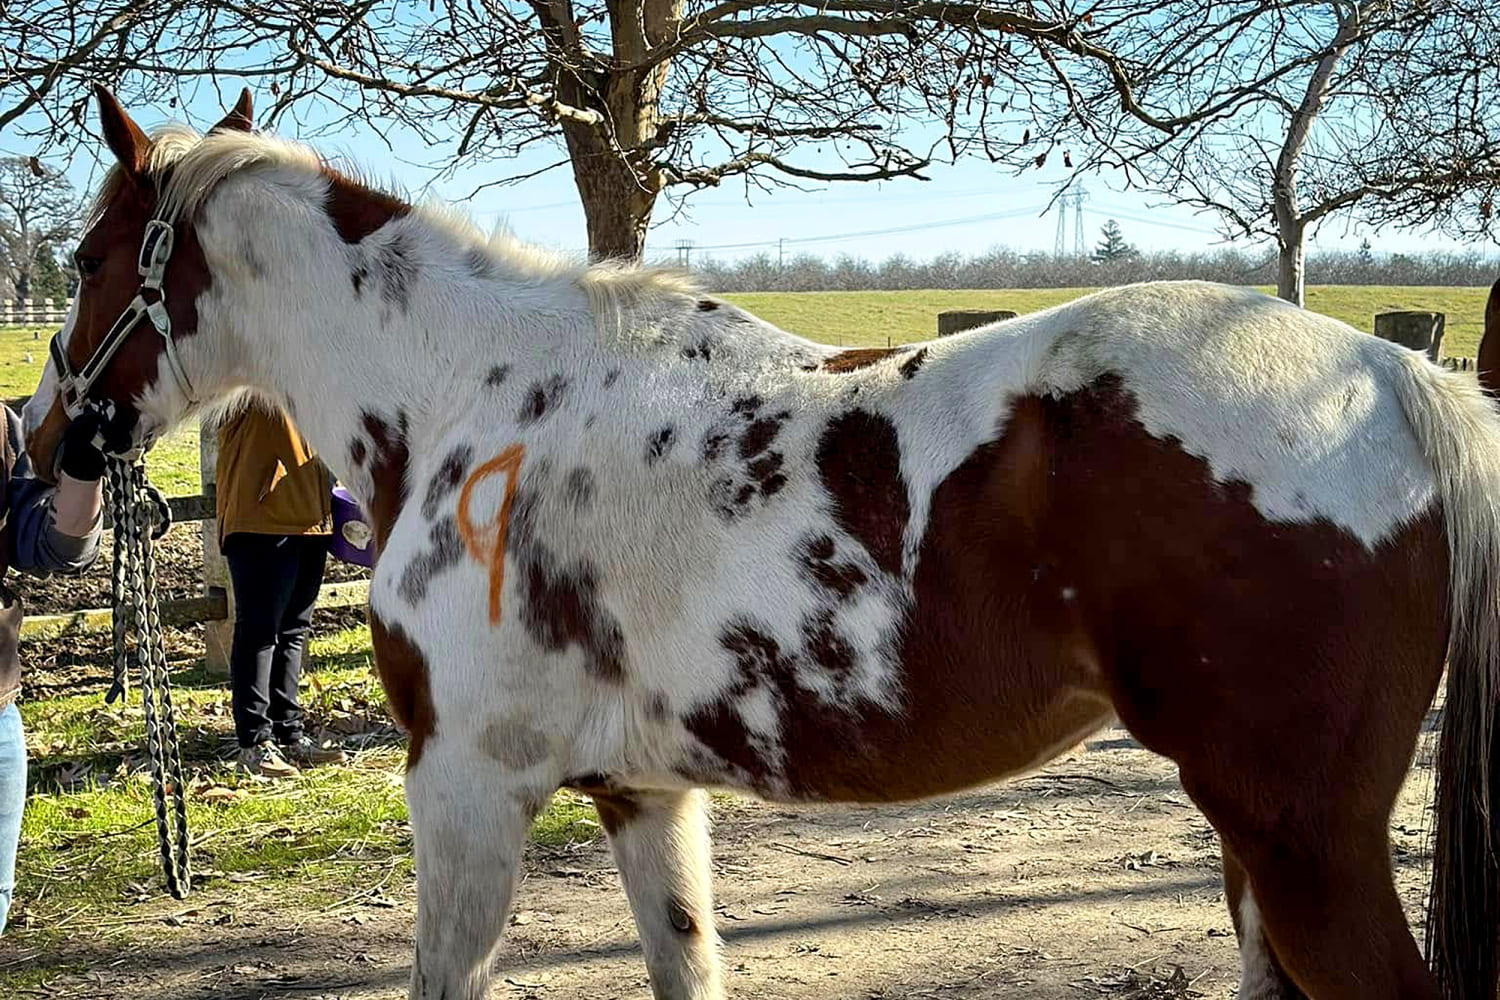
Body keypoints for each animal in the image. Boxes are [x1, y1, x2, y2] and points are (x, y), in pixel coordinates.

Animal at [20, 88, 1500, 1000]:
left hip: (1301, 845)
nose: (45, 440)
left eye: (87, 258)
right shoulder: (644, 795)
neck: (476, 390)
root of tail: (1385, 377)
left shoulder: (466, 790)